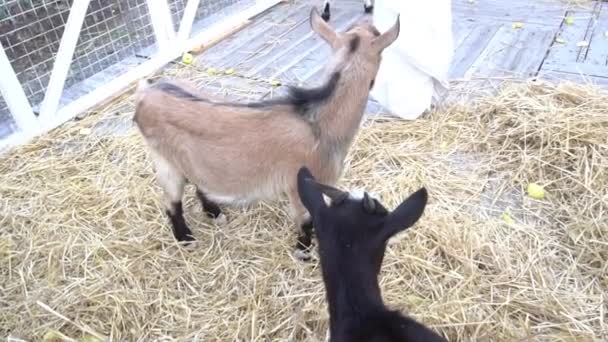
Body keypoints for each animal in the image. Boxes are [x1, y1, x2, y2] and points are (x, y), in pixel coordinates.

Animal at [133, 8, 400, 260]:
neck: (319, 122)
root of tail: (147, 92)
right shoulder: (300, 186)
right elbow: (306, 221)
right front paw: (303, 252)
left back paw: (215, 213)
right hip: (164, 160)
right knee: (171, 202)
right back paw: (186, 238)